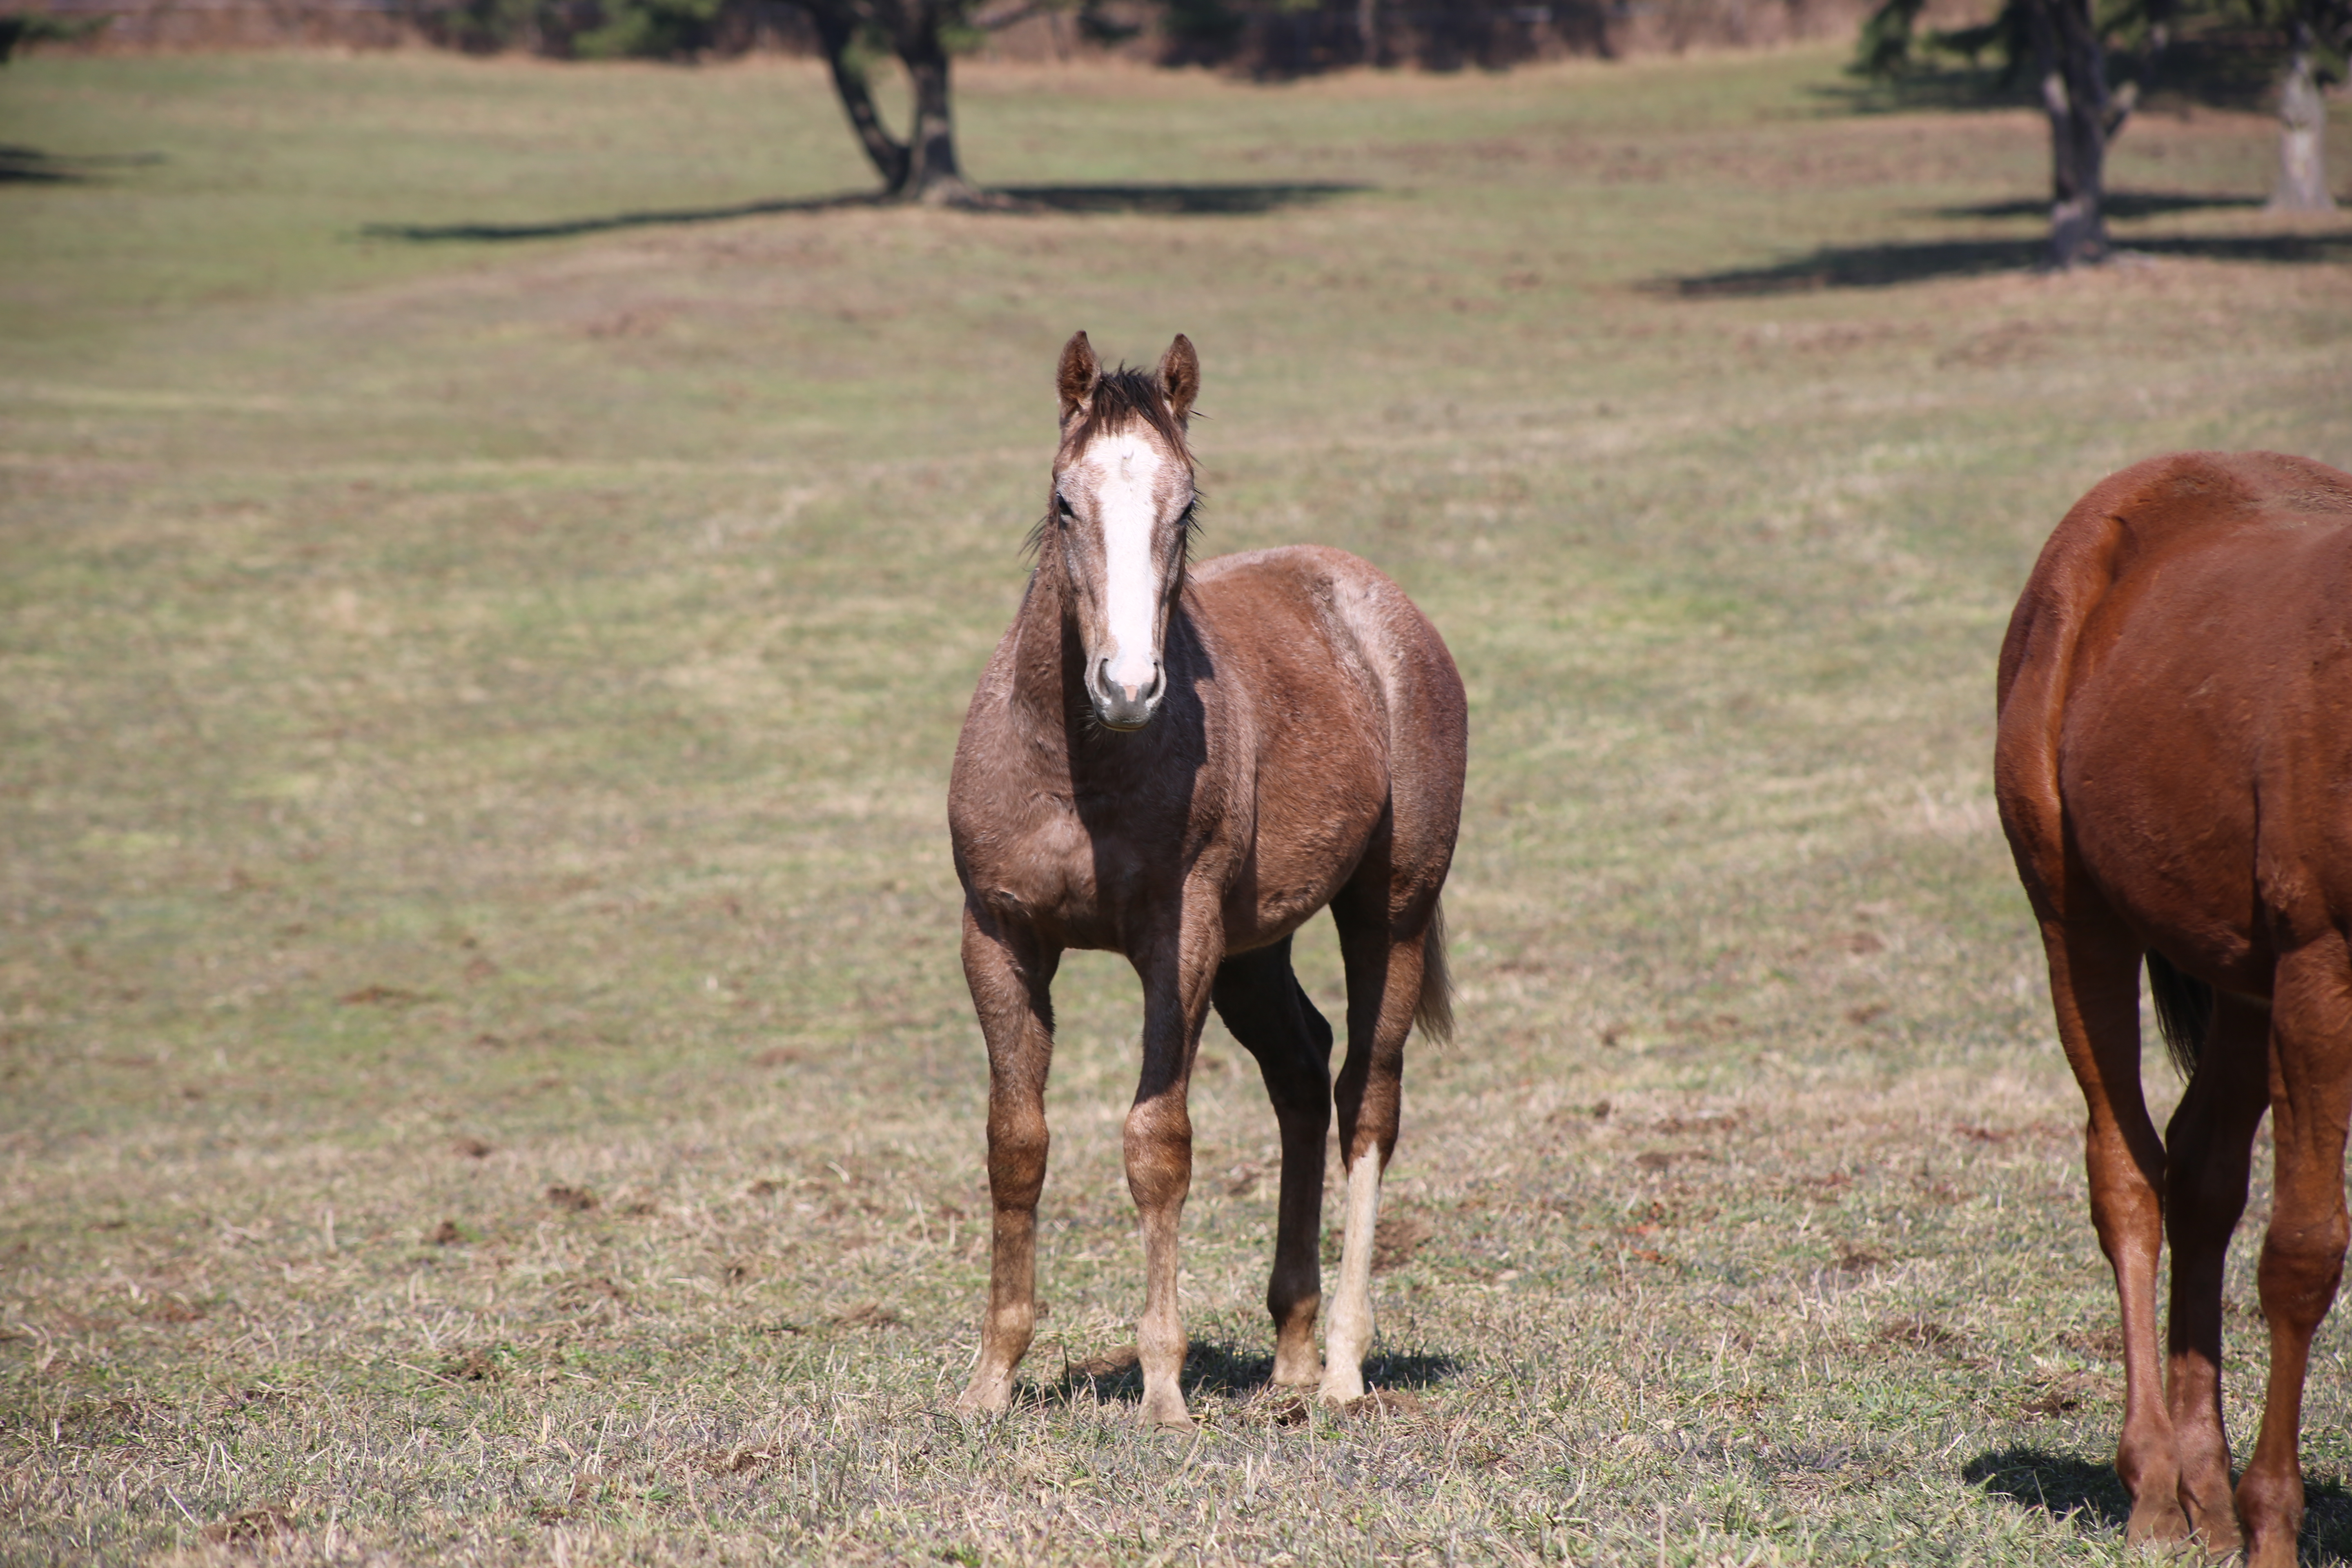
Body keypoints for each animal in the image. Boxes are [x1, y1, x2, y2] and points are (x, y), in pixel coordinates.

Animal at [941, 334, 1458, 1439]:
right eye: (1063, 501)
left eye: (1183, 509)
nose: (1128, 685)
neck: (1079, 770)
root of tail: (1375, 600)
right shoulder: (998, 937)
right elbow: (1016, 1140)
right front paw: (990, 1378)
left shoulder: (1174, 943)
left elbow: (1157, 1142)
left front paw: (1163, 1386)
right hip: (1254, 952)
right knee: (1301, 1069)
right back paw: (1292, 1351)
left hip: (1386, 913)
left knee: (1366, 1101)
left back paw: (1342, 1366)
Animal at [1994, 446, 2352, 1561]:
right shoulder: (2323, 977)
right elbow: (2302, 1251)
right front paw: (2274, 1524)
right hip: (2078, 923)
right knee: (2126, 1174)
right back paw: (2156, 1488)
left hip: (2242, 977)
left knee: (2199, 1178)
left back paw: (2204, 1488)